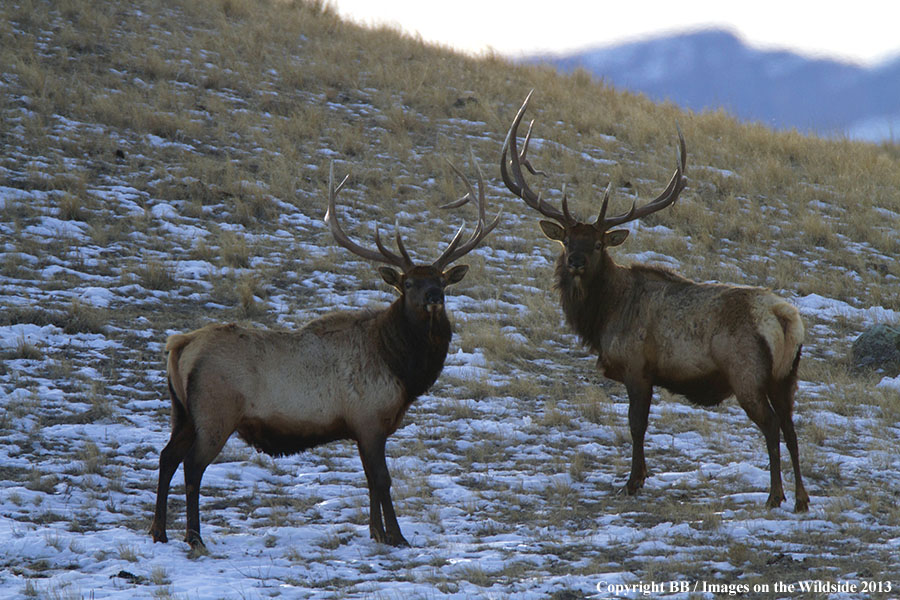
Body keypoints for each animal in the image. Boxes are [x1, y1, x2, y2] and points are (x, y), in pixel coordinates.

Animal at [148, 159, 500, 548]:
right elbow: (382, 480)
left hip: (182, 412)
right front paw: (397, 537)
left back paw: (159, 531)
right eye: (408, 283)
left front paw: (376, 532)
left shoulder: (361, 428)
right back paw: (194, 536)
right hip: (215, 413)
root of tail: (179, 345)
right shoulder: (369, 418)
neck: (400, 369)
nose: (434, 298)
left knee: (167, 457)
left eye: (441, 281)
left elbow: (369, 481)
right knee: (192, 465)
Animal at [500, 91, 808, 512]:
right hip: (786, 376)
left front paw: (633, 481)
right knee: (792, 428)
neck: (603, 316)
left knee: (773, 425)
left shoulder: (637, 367)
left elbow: (636, 424)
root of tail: (783, 316)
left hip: (747, 373)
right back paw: (802, 499)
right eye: (566, 240)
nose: (576, 261)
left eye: (598, 243)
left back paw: (775, 495)